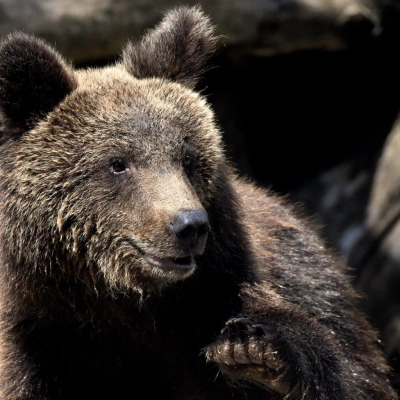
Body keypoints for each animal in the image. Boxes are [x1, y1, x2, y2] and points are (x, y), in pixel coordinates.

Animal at [0, 6, 396, 400]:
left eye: (188, 157)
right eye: (117, 163)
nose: (188, 225)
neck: (126, 304)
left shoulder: (237, 291)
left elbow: (351, 372)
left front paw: (257, 353)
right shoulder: (36, 343)